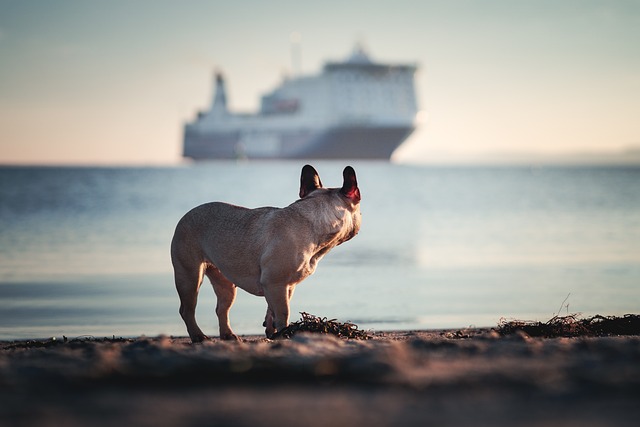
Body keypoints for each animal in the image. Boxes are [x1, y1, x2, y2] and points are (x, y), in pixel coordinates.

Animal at [170, 166, 360, 342]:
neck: (313, 221)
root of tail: (186, 215)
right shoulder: (276, 283)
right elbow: (283, 312)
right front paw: (284, 333)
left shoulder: (284, 286)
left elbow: (272, 310)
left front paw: (272, 331)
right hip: (190, 275)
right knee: (187, 309)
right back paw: (198, 336)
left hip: (225, 283)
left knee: (222, 308)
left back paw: (228, 335)